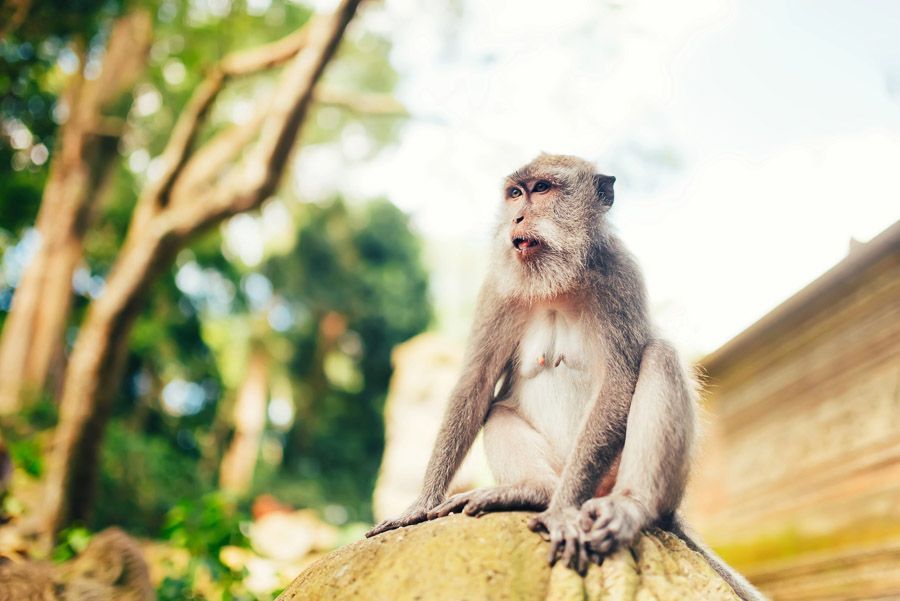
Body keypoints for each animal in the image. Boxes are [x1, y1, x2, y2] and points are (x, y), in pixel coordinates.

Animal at [366, 154, 765, 601]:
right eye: (515, 193)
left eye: (542, 189)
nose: (517, 217)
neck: (556, 283)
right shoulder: (497, 289)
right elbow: (476, 383)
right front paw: (420, 504)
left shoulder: (620, 274)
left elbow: (619, 382)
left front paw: (560, 513)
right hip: (558, 466)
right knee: (499, 412)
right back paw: (532, 491)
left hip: (619, 478)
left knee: (659, 358)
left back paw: (627, 504)